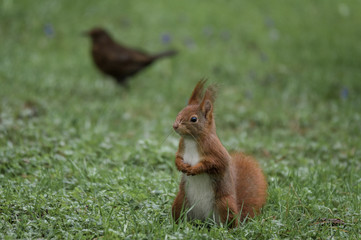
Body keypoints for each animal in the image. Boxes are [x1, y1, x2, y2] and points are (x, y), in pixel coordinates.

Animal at [170, 79, 266, 226]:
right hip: (180, 200)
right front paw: (181, 165)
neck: (192, 140)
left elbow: (215, 163)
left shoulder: (216, 151)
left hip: (224, 204)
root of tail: (204, 220)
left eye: (194, 119)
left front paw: (195, 169)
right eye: (179, 112)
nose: (175, 126)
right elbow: (178, 158)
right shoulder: (182, 147)